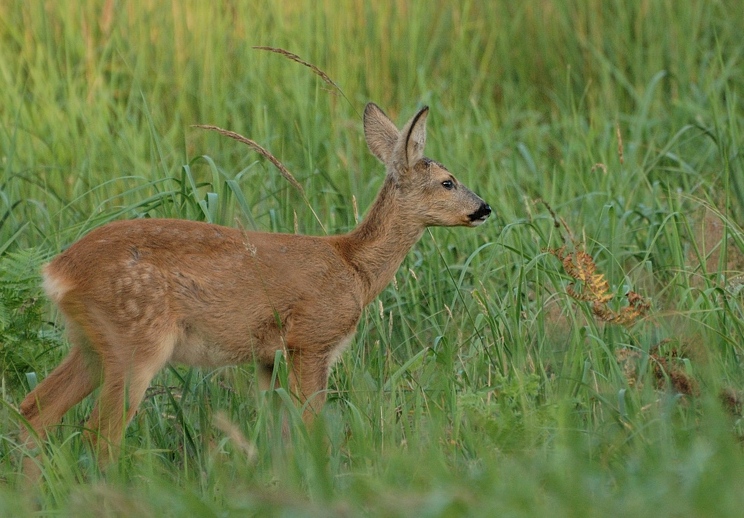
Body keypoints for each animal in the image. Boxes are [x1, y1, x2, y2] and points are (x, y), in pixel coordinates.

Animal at [18, 101, 488, 472]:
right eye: (447, 181)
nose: (484, 208)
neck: (354, 267)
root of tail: (57, 271)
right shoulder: (311, 339)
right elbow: (309, 425)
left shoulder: (269, 357)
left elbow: (279, 434)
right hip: (136, 339)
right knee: (99, 434)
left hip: (91, 343)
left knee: (33, 411)